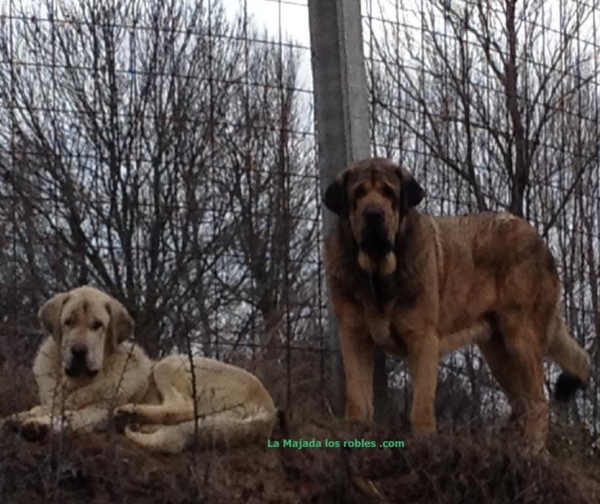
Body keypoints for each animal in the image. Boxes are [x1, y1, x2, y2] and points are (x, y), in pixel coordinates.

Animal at [324, 158, 592, 452]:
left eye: (389, 193)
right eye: (358, 193)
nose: (373, 214)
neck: (377, 272)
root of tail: (537, 238)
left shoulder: (423, 340)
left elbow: (421, 403)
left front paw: (424, 441)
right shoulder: (353, 335)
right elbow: (357, 393)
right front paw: (355, 431)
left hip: (521, 336)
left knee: (538, 401)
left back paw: (531, 448)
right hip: (497, 351)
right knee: (522, 401)